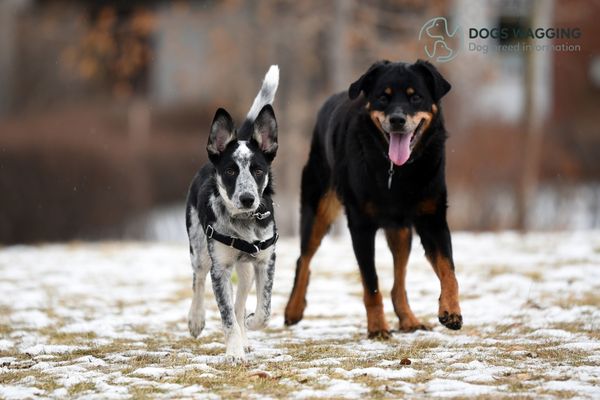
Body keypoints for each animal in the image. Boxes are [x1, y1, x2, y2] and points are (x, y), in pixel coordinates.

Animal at [186, 66, 280, 362]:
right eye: (230, 171)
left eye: (258, 170)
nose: (248, 199)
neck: (244, 223)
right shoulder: (220, 269)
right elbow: (226, 315)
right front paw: (234, 352)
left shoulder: (265, 262)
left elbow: (264, 310)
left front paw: (250, 325)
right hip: (200, 250)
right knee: (198, 279)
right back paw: (196, 320)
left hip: (246, 271)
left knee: (240, 303)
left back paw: (245, 333)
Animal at [284, 59, 462, 340]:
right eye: (382, 97)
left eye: (416, 97)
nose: (397, 119)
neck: (398, 171)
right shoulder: (361, 225)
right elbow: (371, 283)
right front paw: (377, 327)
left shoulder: (433, 219)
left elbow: (448, 270)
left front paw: (451, 311)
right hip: (319, 207)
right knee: (304, 257)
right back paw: (293, 309)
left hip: (400, 230)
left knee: (399, 280)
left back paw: (409, 319)